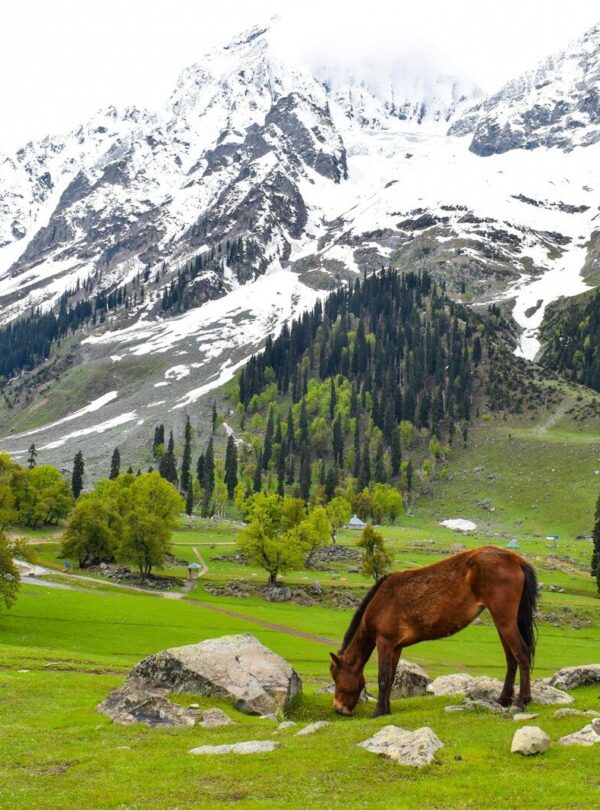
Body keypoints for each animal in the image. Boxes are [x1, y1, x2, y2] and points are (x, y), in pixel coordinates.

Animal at [330, 546, 538, 717]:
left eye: (336, 676)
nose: (338, 708)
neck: (380, 601)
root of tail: (516, 560)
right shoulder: (396, 647)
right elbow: (390, 678)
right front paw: (387, 710)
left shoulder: (384, 643)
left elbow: (383, 678)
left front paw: (378, 712)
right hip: (501, 623)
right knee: (511, 658)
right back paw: (503, 699)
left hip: (505, 621)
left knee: (522, 654)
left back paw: (521, 701)